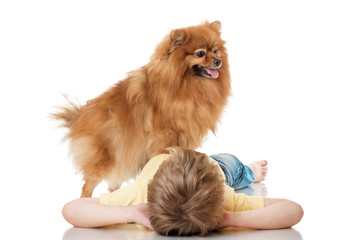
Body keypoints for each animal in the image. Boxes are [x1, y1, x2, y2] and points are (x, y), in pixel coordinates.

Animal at [52, 20, 229, 197]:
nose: (218, 61)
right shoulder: (164, 137)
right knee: (89, 184)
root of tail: (78, 118)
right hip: (106, 154)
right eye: (200, 53)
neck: (185, 87)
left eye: (215, 50)